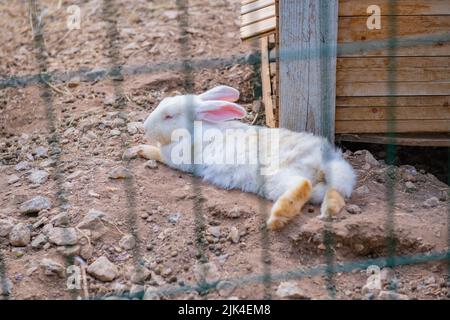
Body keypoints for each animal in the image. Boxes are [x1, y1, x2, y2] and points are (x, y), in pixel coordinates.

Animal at [125, 85, 356, 230]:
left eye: (168, 116)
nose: (146, 127)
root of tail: (323, 159)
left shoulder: (177, 158)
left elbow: (158, 153)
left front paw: (138, 149)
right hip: (327, 185)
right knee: (334, 193)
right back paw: (328, 212)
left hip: (279, 177)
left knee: (302, 186)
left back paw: (276, 219)